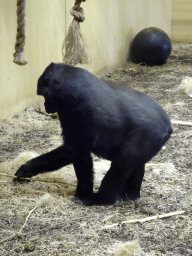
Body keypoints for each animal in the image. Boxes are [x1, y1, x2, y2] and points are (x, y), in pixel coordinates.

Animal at [14, 63, 172, 206]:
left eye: (44, 95)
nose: (46, 106)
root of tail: (167, 125)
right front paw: (27, 169)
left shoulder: (77, 110)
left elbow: (76, 152)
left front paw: (83, 193)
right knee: (136, 163)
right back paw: (130, 195)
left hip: (148, 134)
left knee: (122, 164)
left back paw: (102, 199)